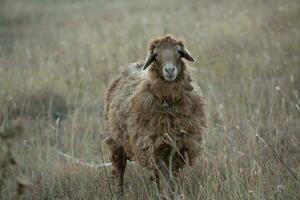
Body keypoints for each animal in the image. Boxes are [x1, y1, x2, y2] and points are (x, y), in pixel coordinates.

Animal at [105, 34, 206, 197]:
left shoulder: (177, 147)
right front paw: (168, 194)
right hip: (117, 141)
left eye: (179, 52)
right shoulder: (154, 146)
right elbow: (165, 175)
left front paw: (174, 193)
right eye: (156, 55)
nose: (169, 70)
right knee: (120, 168)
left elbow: (171, 176)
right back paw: (119, 193)